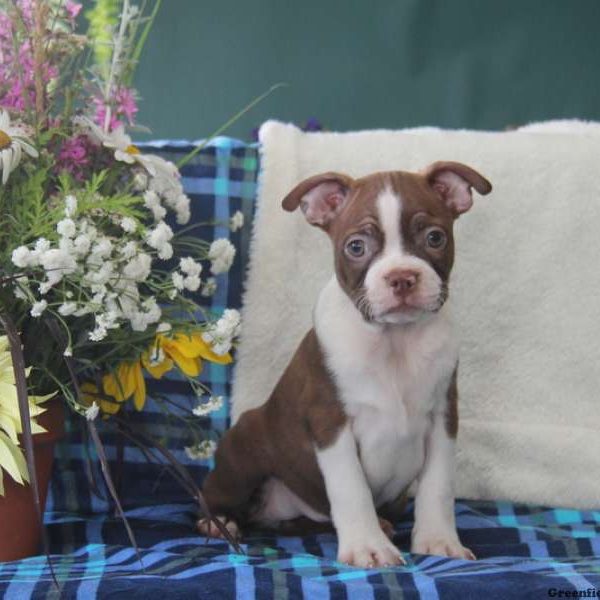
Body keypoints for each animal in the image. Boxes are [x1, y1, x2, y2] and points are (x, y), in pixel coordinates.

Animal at [199, 162, 490, 568]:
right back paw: (220, 521)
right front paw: (368, 547)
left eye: (435, 238)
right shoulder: (331, 423)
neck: (394, 341)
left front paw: (438, 542)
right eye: (356, 247)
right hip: (244, 447)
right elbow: (351, 488)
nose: (402, 277)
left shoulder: (443, 418)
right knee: (214, 493)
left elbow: (438, 487)